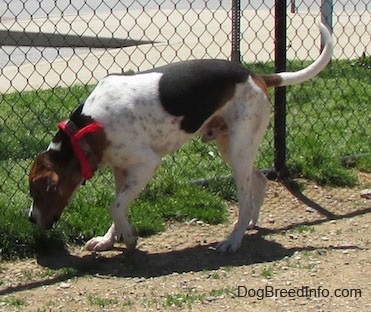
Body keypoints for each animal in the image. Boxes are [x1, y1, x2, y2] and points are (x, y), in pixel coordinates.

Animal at [27, 23, 332, 254]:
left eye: (37, 192)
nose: (30, 218)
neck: (83, 128)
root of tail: (255, 75)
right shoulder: (122, 168)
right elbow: (119, 206)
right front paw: (110, 239)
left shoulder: (147, 164)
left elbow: (115, 206)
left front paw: (129, 238)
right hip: (232, 147)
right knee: (259, 180)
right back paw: (250, 225)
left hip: (238, 150)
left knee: (244, 199)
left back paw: (233, 239)